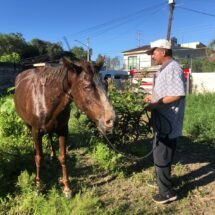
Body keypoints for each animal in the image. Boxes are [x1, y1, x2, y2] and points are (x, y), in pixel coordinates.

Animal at [13, 57, 115, 198]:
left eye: (106, 85)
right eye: (87, 87)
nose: (111, 121)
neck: (46, 98)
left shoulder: (63, 130)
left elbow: (63, 157)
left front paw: (67, 188)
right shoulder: (36, 131)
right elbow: (39, 157)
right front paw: (38, 185)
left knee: (50, 136)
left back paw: (52, 154)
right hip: (28, 125)